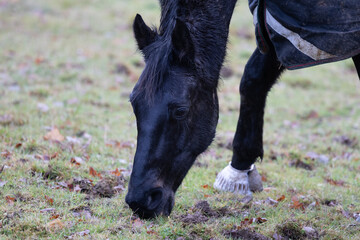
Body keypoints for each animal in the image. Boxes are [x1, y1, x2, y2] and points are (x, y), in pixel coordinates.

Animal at [124, 0, 360, 218]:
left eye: (180, 110)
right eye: (134, 103)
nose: (141, 201)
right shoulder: (273, 24)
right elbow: (253, 79)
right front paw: (240, 167)